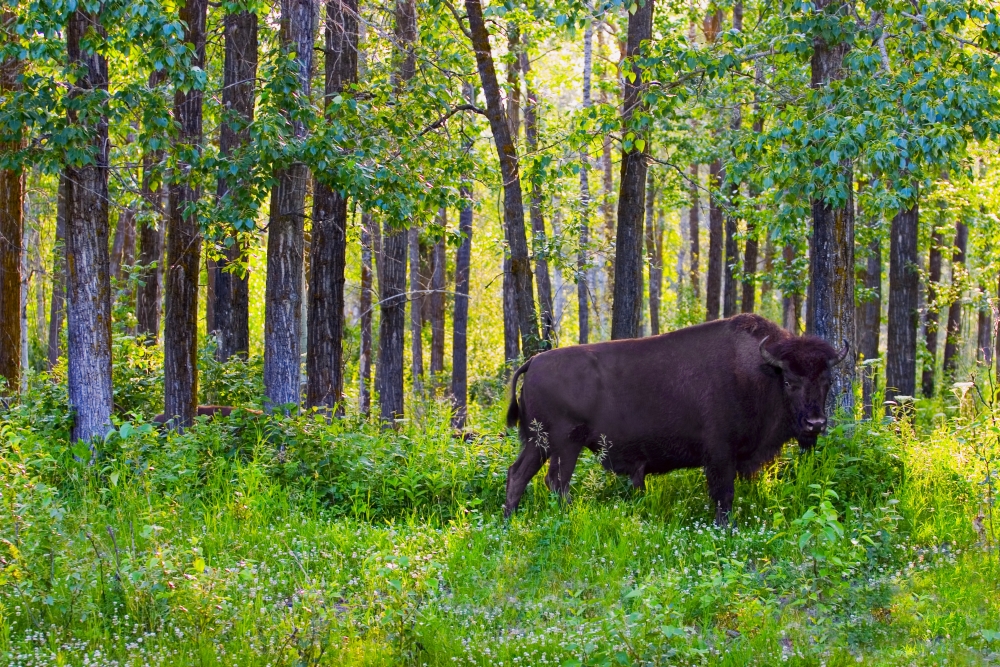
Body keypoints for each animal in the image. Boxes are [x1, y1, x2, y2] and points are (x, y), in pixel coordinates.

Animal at [503, 314, 849, 525]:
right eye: (789, 381)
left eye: (828, 381)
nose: (815, 424)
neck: (761, 373)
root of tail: (533, 361)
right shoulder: (720, 454)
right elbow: (723, 495)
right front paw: (724, 528)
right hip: (564, 445)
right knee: (554, 481)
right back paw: (565, 517)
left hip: (539, 444)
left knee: (519, 474)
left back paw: (510, 520)